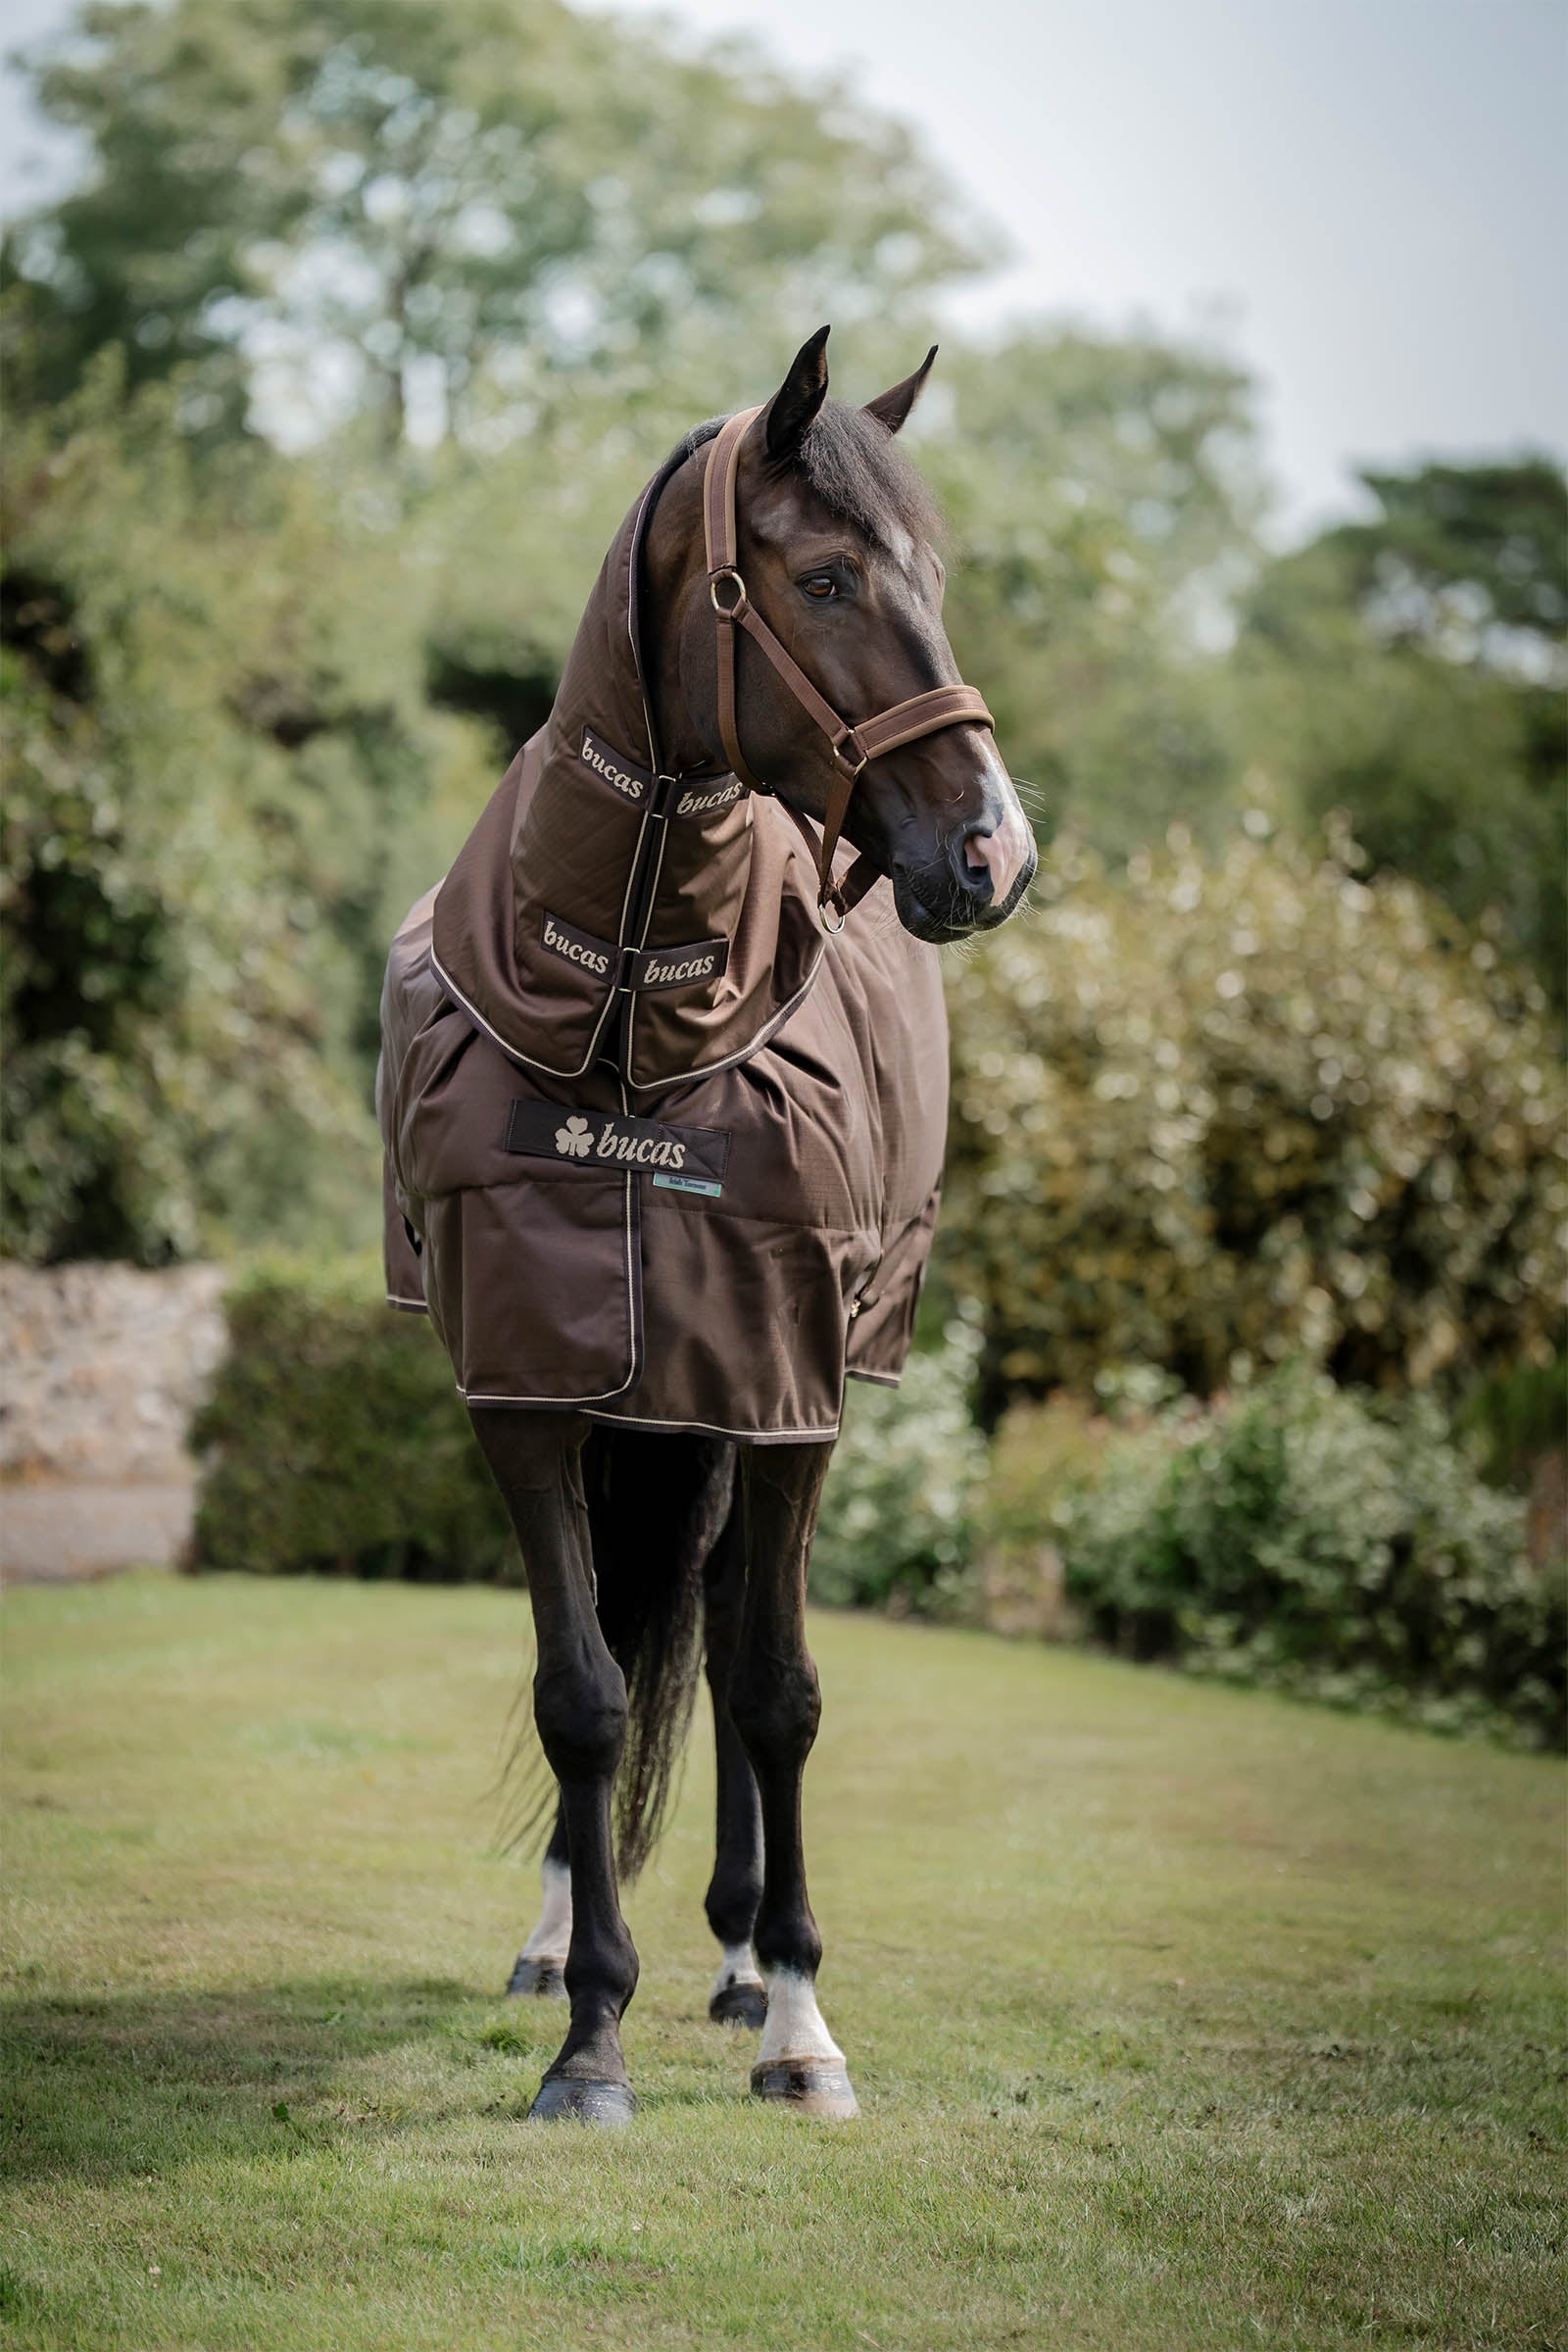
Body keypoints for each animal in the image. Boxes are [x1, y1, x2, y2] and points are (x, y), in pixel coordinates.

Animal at [378, 326, 1035, 2124]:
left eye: (933, 576)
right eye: (823, 577)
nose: (995, 851)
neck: (629, 1027)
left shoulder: (786, 1387)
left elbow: (777, 1689)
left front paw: (803, 2019)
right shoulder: (528, 1386)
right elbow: (585, 1692)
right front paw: (588, 2031)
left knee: (736, 1633)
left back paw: (746, 1960)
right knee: (636, 1624)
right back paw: (563, 1944)